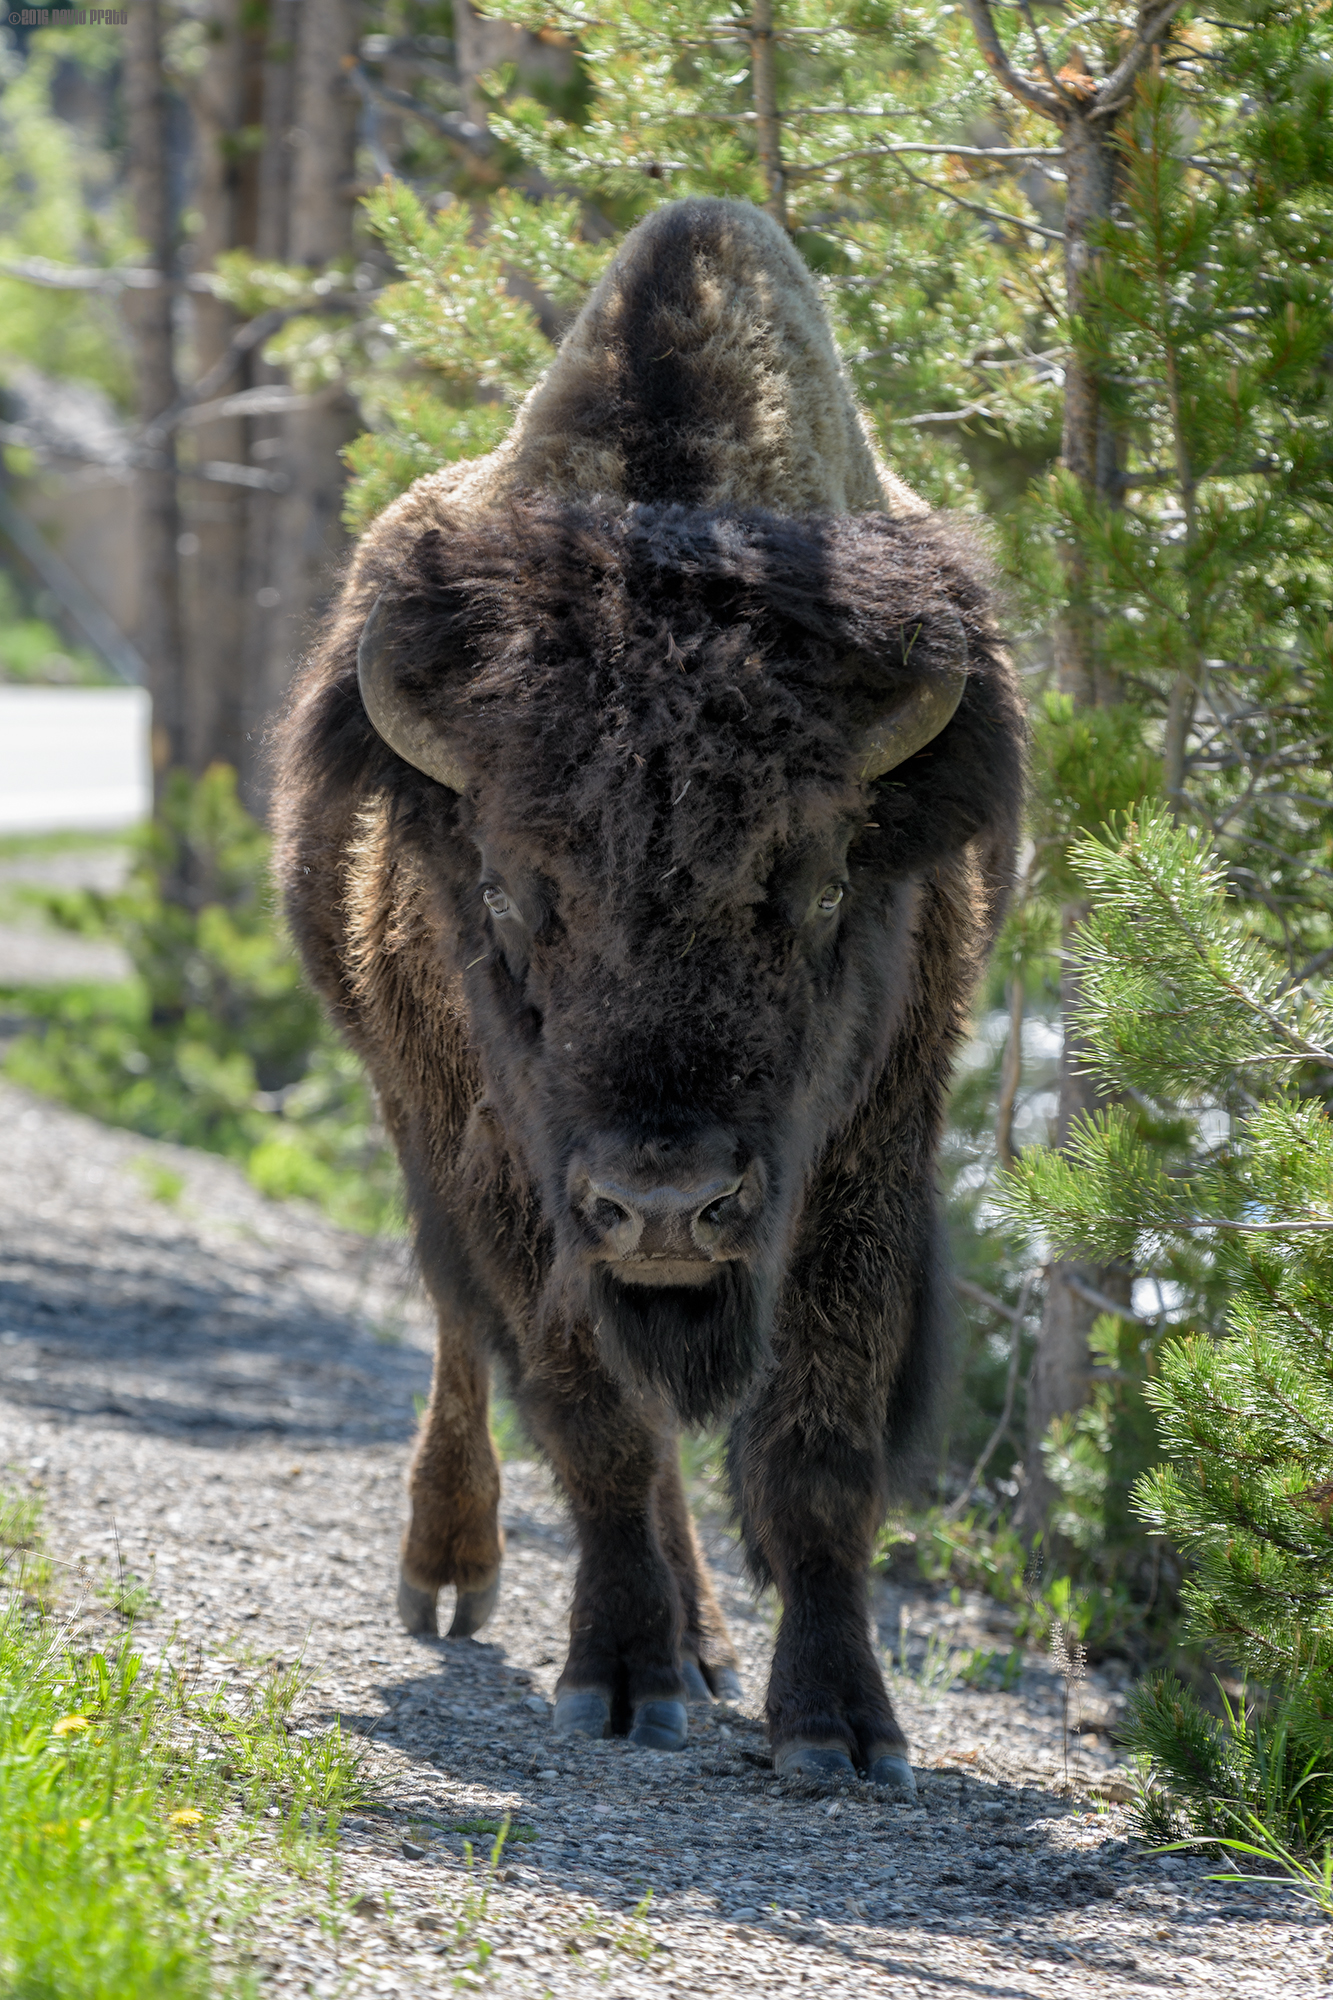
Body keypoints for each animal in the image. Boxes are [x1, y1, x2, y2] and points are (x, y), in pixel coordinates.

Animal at [275, 198, 1023, 1786]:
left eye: (817, 885)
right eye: (510, 892)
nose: (667, 1203)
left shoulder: (867, 1155)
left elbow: (817, 1448)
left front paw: (839, 1726)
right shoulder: (514, 1170)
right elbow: (596, 1415)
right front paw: (615, 1678)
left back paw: (709, 1641)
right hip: (416, 1120)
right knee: (463, 1336)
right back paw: (460, 1577)